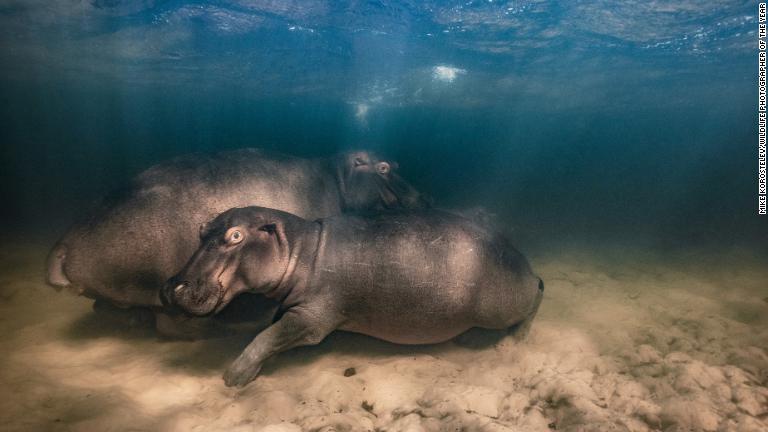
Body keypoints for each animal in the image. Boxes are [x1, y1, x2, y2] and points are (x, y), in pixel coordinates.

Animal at [45, 148, 428, 338]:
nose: (426, 198)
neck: (337, 178)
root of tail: (63, 245)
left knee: (108, 308)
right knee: (171, 325)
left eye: (396, 162)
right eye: (384, 166)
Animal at [164, 206, 544, 388]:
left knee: (537, 294)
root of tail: (521, 258)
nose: (172, 287)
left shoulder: (312, 319)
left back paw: (515, 340)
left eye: (235, 236)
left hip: (501, 306)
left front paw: (234, 376)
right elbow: (270, 328)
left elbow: (267, 337)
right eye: (201, 229)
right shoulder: (290, 307)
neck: (301, 249)